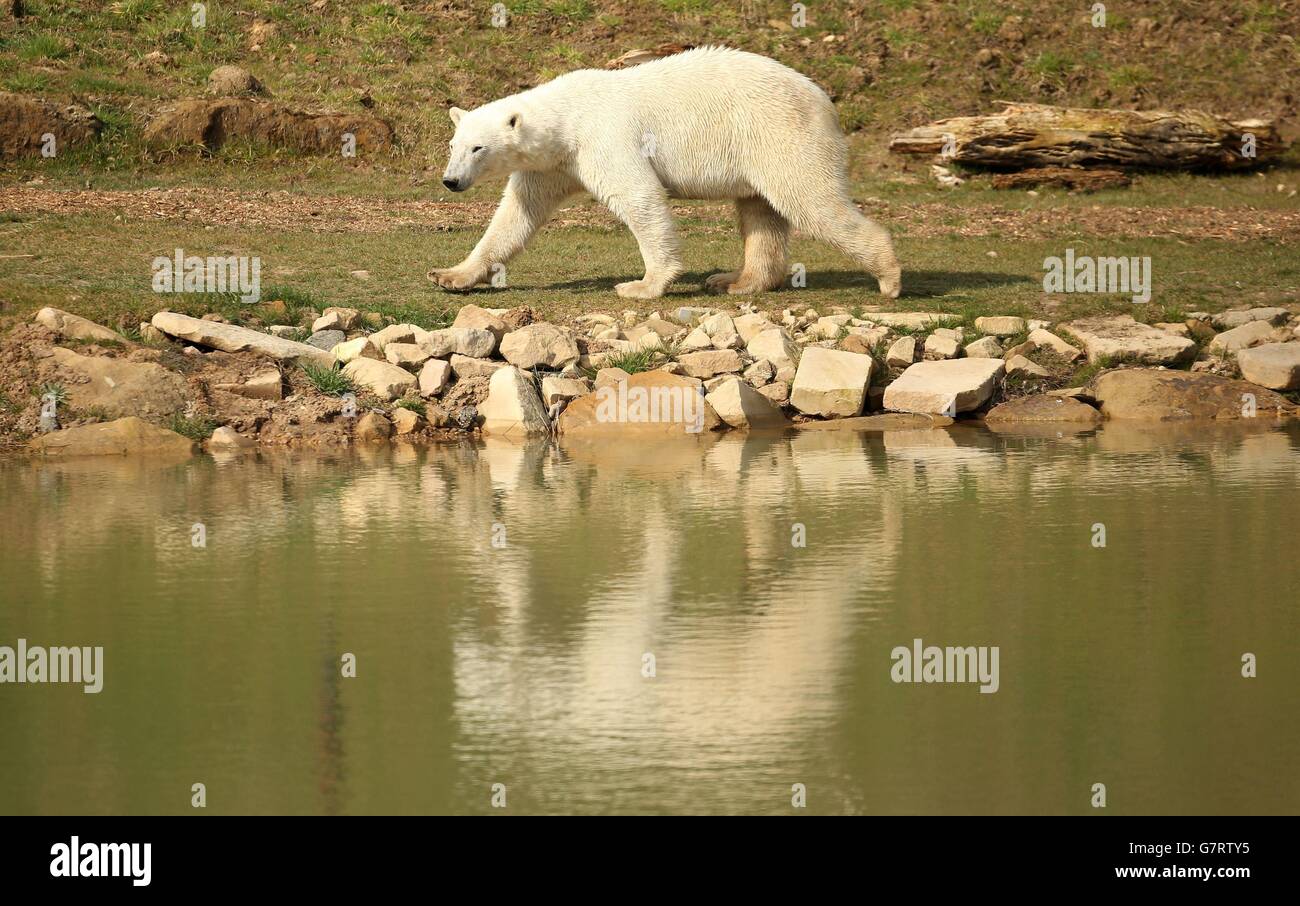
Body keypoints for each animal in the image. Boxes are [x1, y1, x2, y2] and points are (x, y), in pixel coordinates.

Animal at [432, 46, 901, 301]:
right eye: (454, 145)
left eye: (478, 148)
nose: (451, 181)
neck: (566, 117)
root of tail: (824, 99)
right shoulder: (555, 162)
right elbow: (516, 215)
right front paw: (451, 275)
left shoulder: (603, 138)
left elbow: (638, 196)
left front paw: (643, 285)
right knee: (760, 211)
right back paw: (735, 281)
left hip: (781, 133)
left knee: (807, 199)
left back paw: (888, 277)